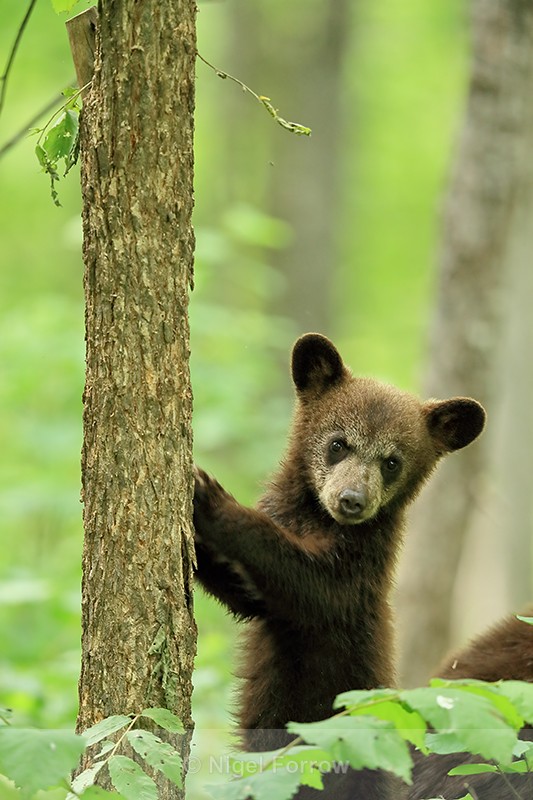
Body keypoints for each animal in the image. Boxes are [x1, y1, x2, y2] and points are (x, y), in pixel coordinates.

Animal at [193, 333, 486, 799]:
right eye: (337, 444)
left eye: (391, 462)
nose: (351, 501)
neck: (318, 520)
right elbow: (248, 596)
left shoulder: (363, 567)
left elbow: (317, 588)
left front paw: (211, 499)